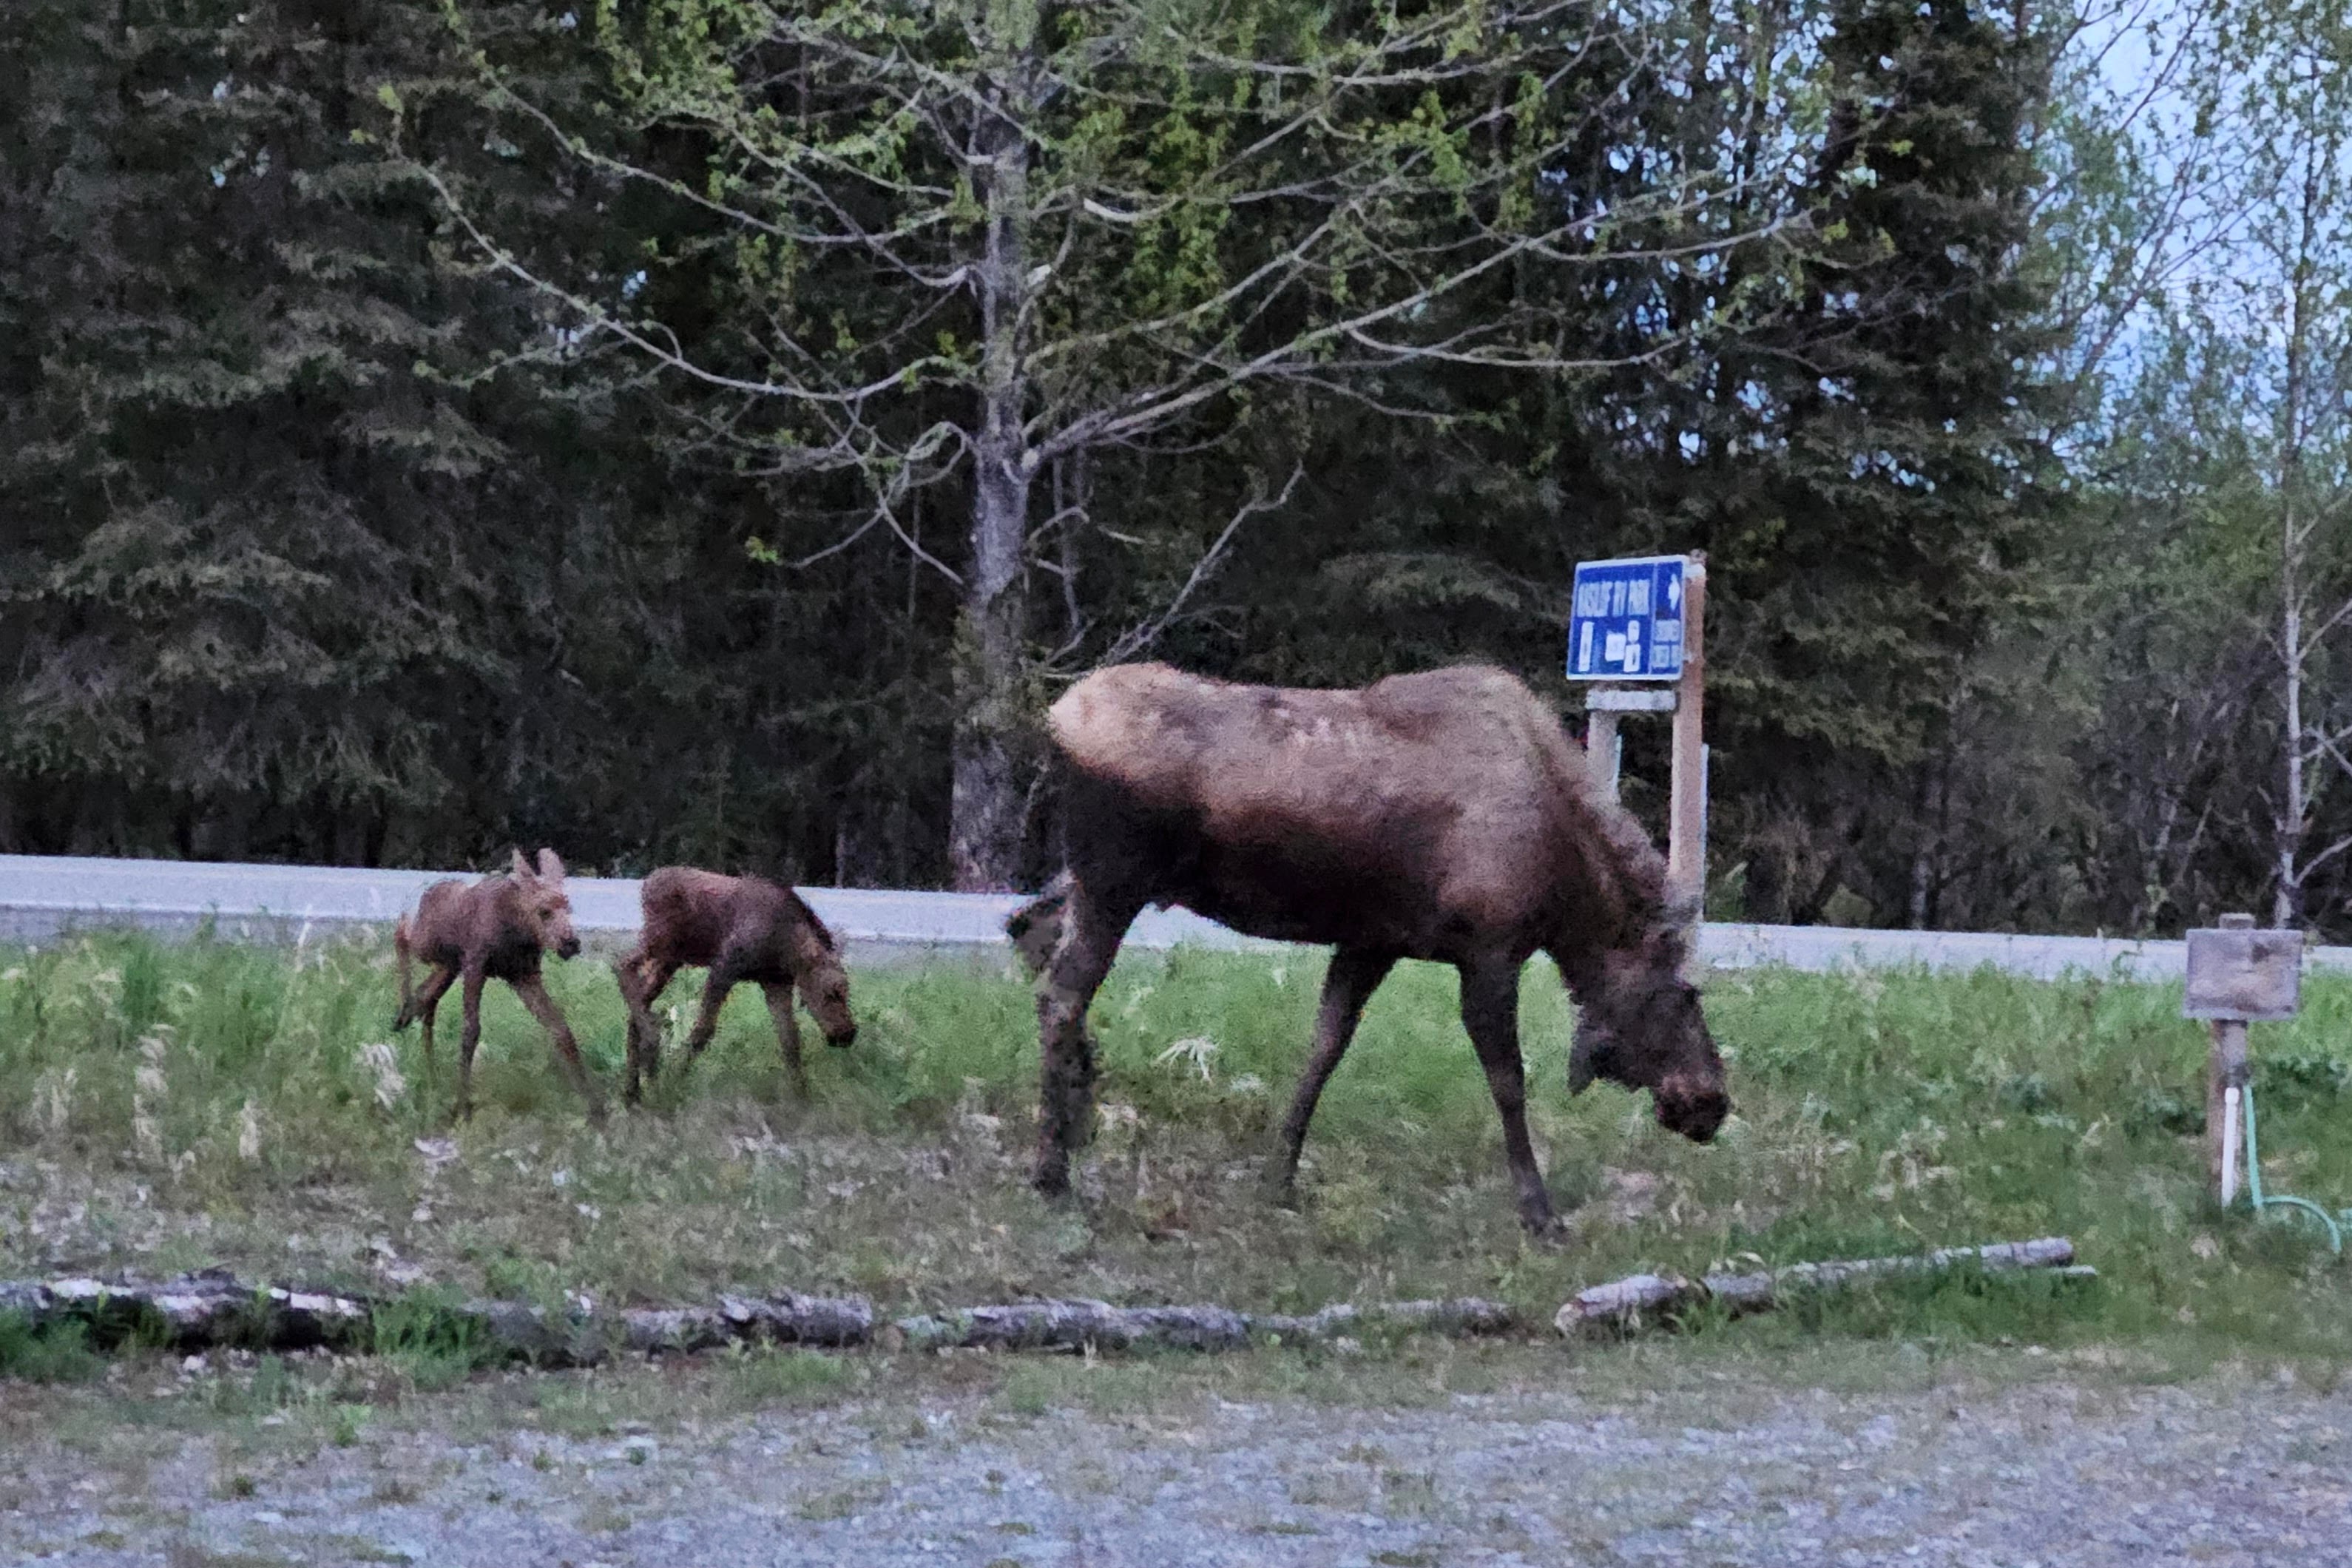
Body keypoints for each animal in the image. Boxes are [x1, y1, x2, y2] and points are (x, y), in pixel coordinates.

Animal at [392, 848, 605, 1123]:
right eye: (544, 911)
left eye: (569, 908)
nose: (571, 944)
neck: (519, 931)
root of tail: (428, 889)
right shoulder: (476, 965)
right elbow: (471, 1030)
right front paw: (463, 1108)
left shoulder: (524, 975)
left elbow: (560, 1028)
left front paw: (595, 1107)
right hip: (429, 946)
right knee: (401, 931)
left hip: (449, 964)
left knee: (428, 994)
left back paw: (419, 1041)